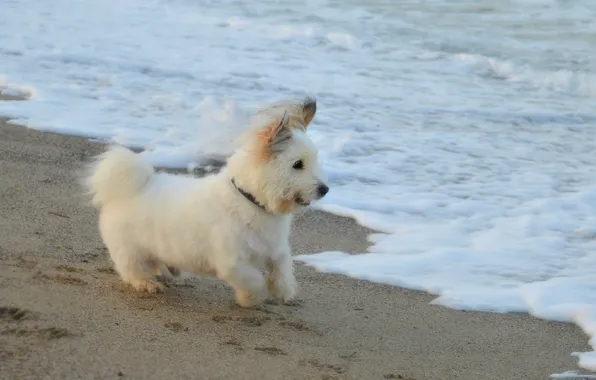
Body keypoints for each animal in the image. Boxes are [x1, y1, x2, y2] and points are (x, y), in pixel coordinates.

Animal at [82, 98, 328, 308]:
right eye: (297, 164)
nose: (324, 189)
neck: (251, 201)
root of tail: (129, 189)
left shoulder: (276, 247)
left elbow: (282, 266)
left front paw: (282, 290)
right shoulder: (232, 262)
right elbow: (253, 279)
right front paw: (251, 298)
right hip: (130, 250)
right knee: (131, 270)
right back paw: (146, 283)